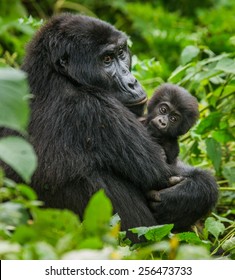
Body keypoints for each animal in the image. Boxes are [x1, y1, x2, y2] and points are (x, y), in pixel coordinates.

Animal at [2, 13, 218, 238]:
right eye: (106, 60)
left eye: (121, 53)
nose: (132, 82)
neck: (57, 75)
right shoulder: (97, 109)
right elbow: (162, 173)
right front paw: (194, 193)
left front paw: (187, 195)